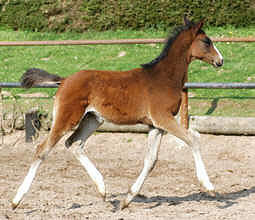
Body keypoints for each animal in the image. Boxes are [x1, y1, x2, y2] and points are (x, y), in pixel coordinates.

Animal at [12, 17, 223, 210]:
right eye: (206, 41)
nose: (220, 61)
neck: (163, 78)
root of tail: (64, 81)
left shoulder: (155, 125)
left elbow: (151, 160)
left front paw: (127, 199)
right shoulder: (163, 118)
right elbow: (192, 140)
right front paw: (210, 187)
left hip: (93, 119)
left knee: (74, 143)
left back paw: (103, 189)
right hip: (67, 118)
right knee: (42, 149)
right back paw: (16, 200)